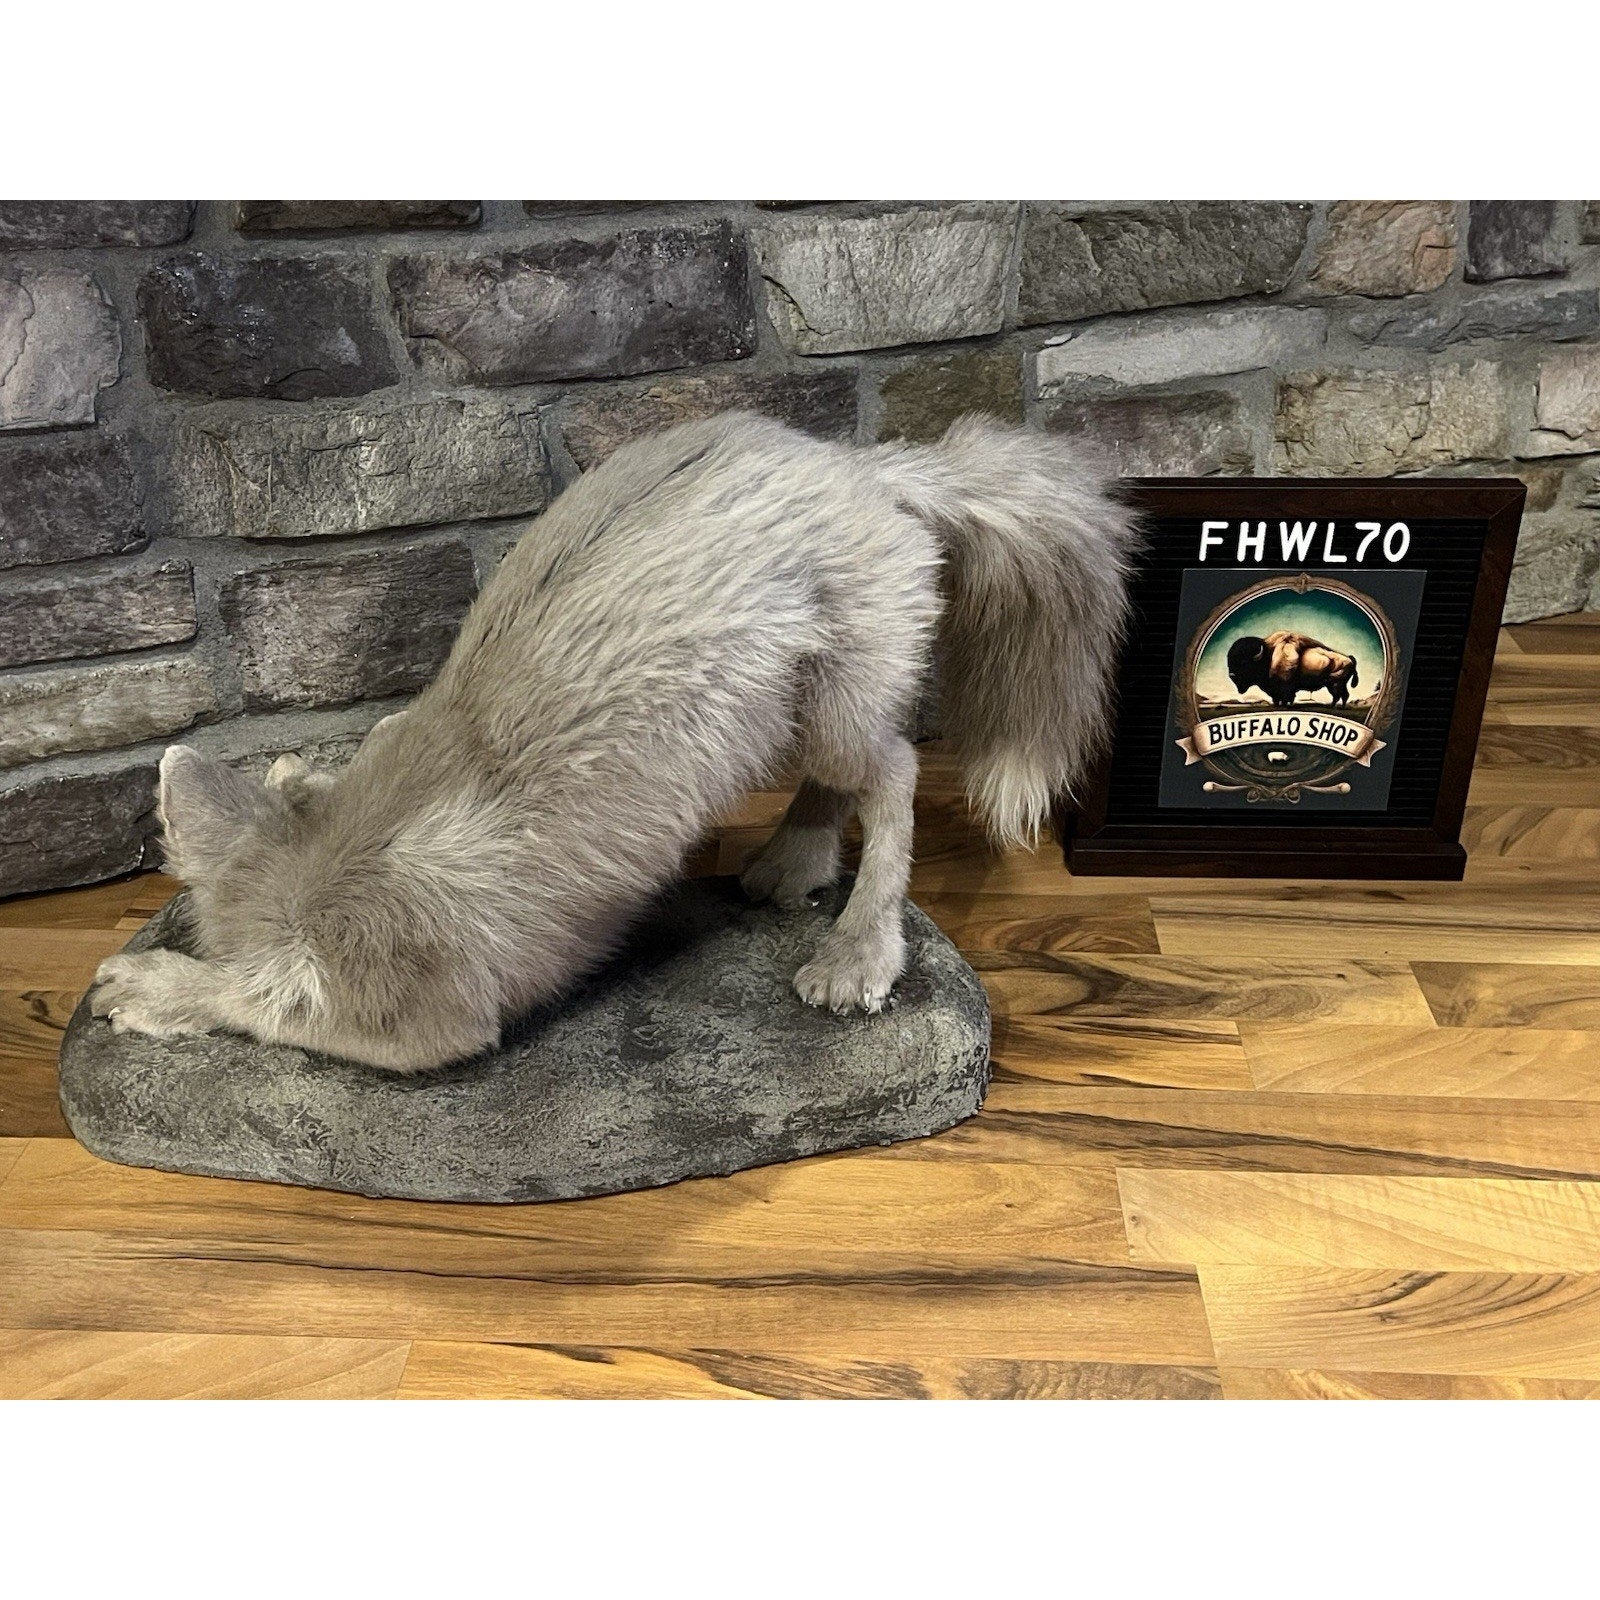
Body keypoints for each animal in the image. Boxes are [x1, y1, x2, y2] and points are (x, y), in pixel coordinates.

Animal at [89, 411, 1138, 1072]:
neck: (364, 835)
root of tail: (865, 464)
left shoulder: (438, 1019)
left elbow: (252, 1001)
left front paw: (146, 988)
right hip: (799, 712)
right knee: (849, 783)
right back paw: (792, 865)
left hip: (834, 715)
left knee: (897, 772)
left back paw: (858, 948)